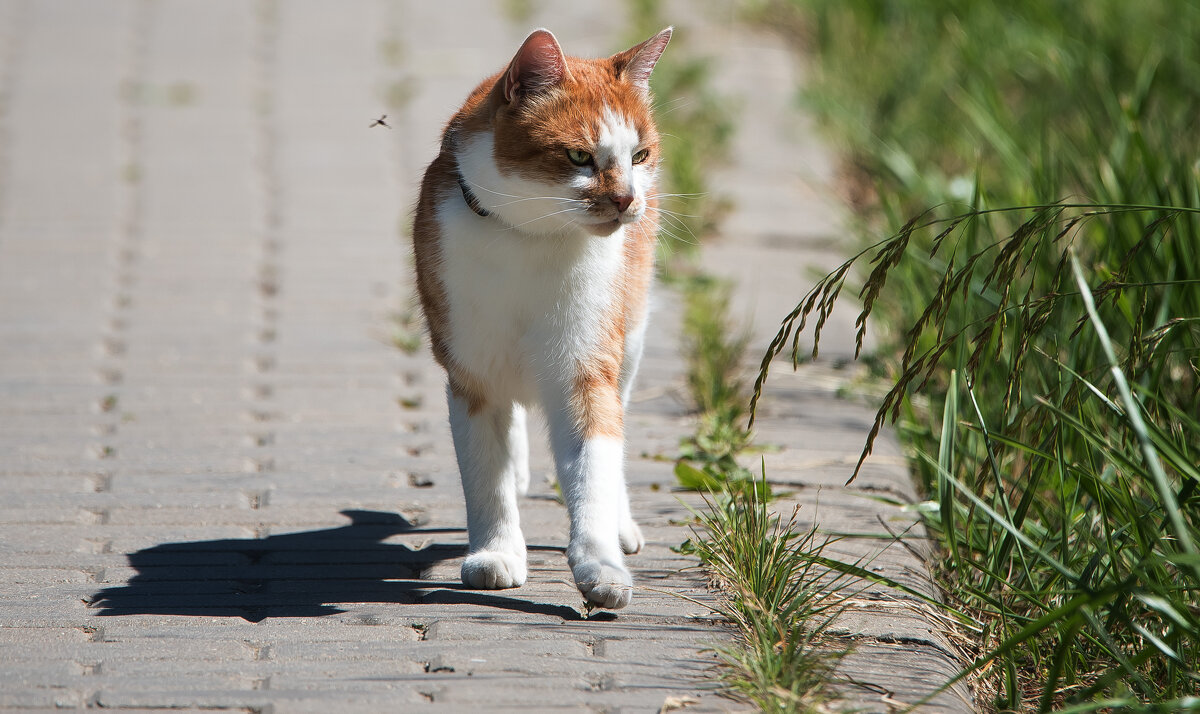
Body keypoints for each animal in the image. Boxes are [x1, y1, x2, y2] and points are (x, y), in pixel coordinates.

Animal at [415, 26, 676, 609]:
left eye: (639, 155)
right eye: (579, 156)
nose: (626, 200)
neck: (530, 240)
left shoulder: (585, 369)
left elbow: (593, 470)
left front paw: (601, 566)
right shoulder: (471, 375)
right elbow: (484, 477)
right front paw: (496, 554)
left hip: (632, 336)